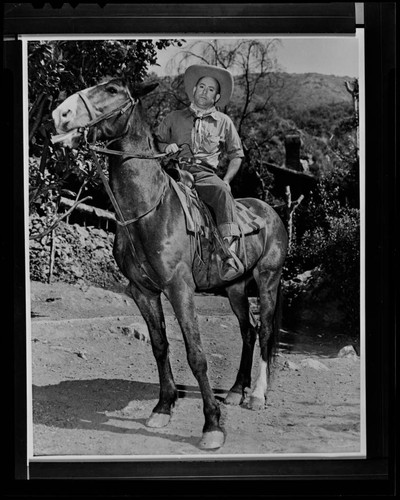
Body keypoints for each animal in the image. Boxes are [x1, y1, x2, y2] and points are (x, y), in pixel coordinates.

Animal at [52, 76, 288, 452]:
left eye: (113, 90)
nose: (60, 114)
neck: (148, 211)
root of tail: (270, 213)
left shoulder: (180, 289)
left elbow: (196, 354)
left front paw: (212, 426)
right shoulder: (142, 291)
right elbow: (160, 346)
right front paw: (163, 407)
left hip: (268, 280)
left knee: (264, 331)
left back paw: (257, 396)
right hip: (235, 287)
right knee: (248, 331)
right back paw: (236, 391)